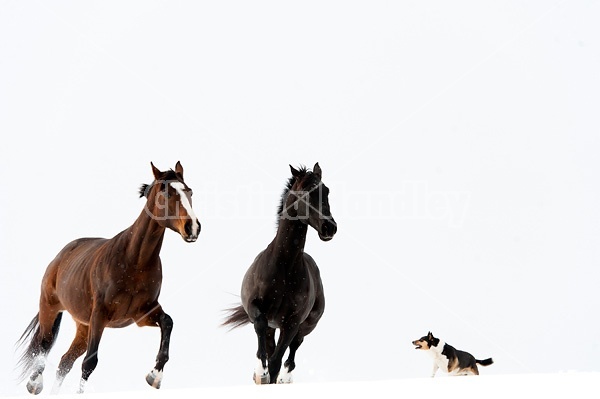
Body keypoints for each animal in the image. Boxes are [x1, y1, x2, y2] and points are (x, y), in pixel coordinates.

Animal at [15, 162, 199, 394]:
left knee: (65, 361)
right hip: (51, 309)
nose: (192, 227)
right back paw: (34, 383)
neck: (134, 261)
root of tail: (60, 257)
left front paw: (154, 376)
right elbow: (89, 363)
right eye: (166, 194)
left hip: (83, 326)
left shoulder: (142, 314)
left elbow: (168, 322)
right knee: (43, 347)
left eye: (189, 191)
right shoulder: (100, 315)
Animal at [225, 162, 338, 384]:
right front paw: (259, 371)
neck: (283, 269)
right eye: (305, 192)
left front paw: (269, 374)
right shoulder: (254, 307)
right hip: (274, 325)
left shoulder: (292, 322)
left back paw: (285, 378)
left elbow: (277, 359)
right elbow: (261, 330)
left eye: (327, 191)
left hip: (306, 325)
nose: (329, 227)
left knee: (293, 349)